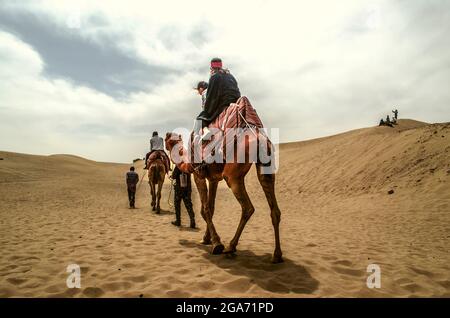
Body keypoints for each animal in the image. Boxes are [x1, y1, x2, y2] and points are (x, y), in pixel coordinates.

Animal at [163, 130, 284, 264]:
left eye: (166, 140)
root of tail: (259, 139)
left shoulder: (197, 175)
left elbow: (205, 209)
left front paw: (216, 243)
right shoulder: (213, 179)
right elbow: (211, 208)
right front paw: (206, 238)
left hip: (233, 175)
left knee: (248, 208)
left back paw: (231, 246)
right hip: (265, 167)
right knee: (274, 210)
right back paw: (277, 255)